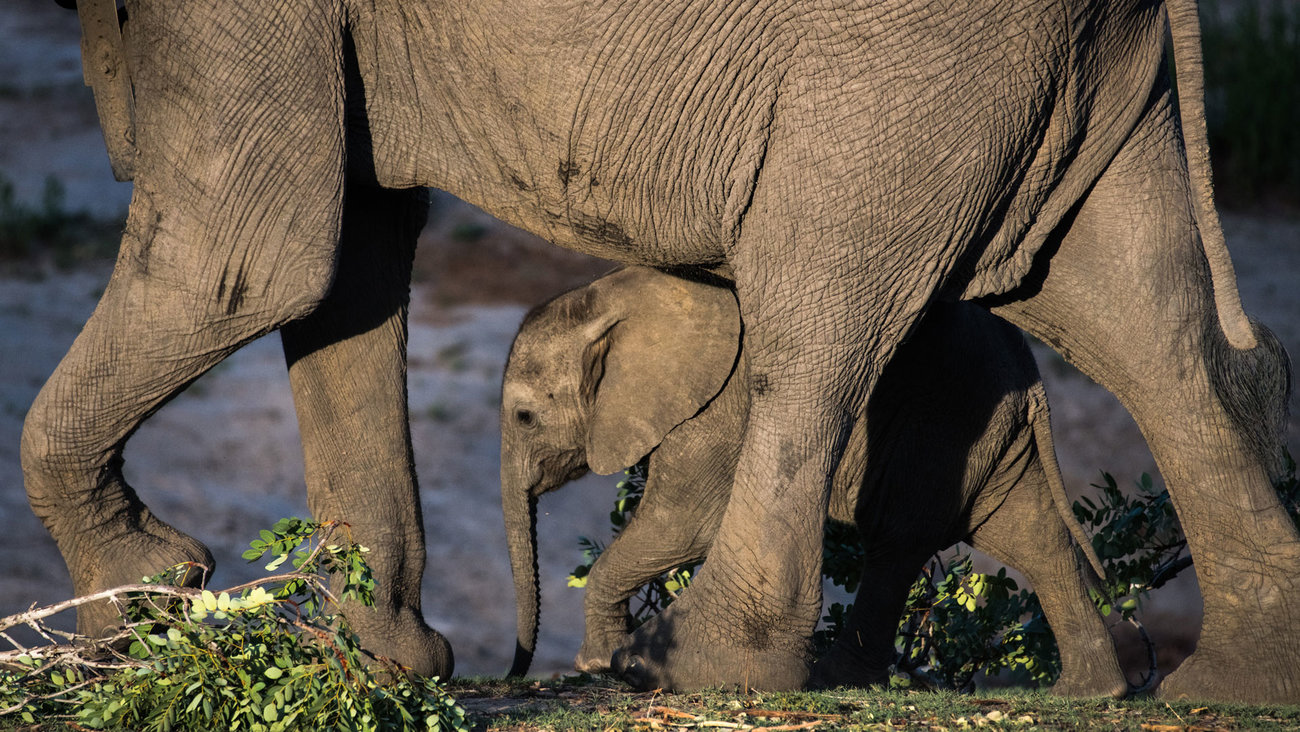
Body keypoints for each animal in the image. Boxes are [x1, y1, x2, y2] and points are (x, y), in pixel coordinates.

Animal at [499, 266, 1128, 696]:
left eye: (525, 417)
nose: (513, 673)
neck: (617, 294)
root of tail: (1033, 374)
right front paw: (606, 660)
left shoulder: (717, 403)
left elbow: (688, 525)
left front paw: (604, 663)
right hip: (991, 433)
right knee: (1034, 538)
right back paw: (1090, 692)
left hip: (945, 421)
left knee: (894, 542)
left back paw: (833, 679)